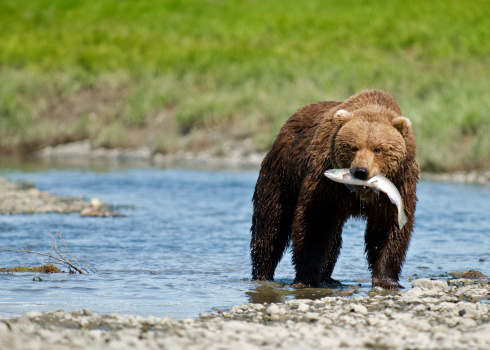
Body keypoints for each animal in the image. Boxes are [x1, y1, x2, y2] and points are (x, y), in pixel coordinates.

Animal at [253, 89, 418, 288]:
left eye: (378, 149)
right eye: (353, 147)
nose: (361, 171)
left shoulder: (399, 186)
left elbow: (387, 229)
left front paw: (387, 280)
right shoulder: (325, 183)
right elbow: (315, 222)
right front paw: (306, 278)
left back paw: (328, 278)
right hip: (282, 174)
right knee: (271, 224)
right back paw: (262, 273)